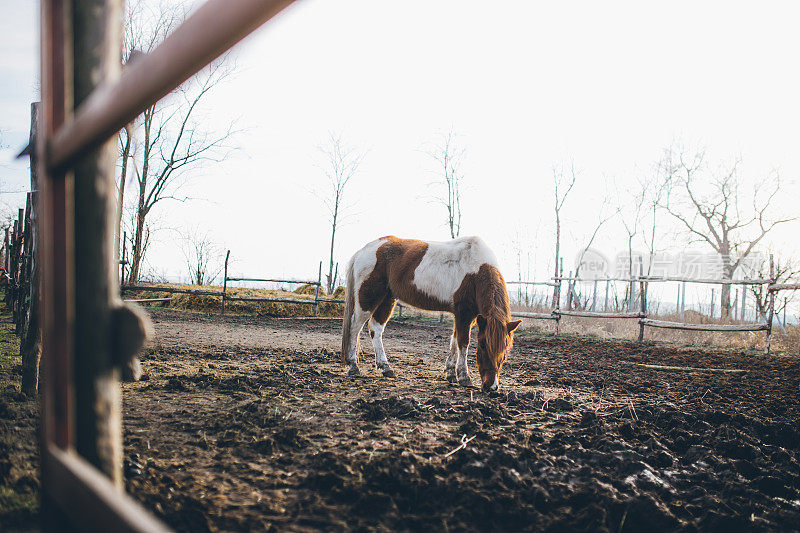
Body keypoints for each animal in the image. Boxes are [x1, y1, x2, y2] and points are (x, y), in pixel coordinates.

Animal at [342, 236, 520, 390]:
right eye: (482, 345)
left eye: (506, 349)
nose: (492, 387)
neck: (476, 270)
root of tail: (365, 250)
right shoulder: (464, 314)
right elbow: (463, 343)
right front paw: (464, 377)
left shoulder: (465, 316)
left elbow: (454, 341)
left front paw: (451, 373)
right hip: (368, 299)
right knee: (355, 327)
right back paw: (353, 365)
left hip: (387, 298)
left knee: (376, 329)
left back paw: (386, 368)